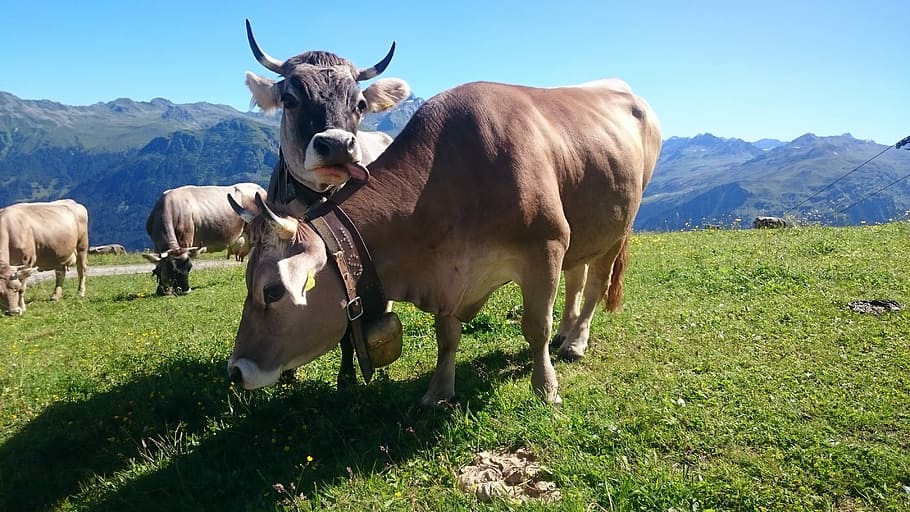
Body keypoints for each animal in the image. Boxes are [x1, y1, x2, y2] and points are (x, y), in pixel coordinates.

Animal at [227, 78, 662, 407]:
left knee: (594, 285)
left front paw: (546, 387)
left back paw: (575, 342)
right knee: (576, 278)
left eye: (272, 291)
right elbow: (446, 336)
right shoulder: (446, 276)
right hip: (587, 227)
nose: (235, 371)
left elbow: (536, 327)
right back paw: (567, 333)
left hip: (619, 226)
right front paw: (438, 391)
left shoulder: (546, 245)